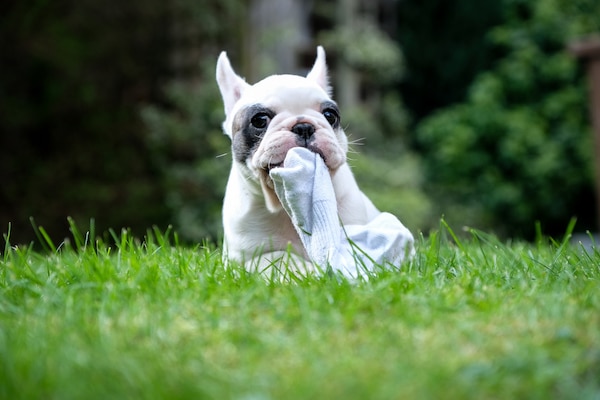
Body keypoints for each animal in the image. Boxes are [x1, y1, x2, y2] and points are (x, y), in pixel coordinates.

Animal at [216, 46, 412, 278]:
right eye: (260, 120)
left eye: (330, 115)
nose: (303, 126)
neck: (285, 206)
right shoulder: (240, 260)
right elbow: (277, 257)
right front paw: (305, 269)